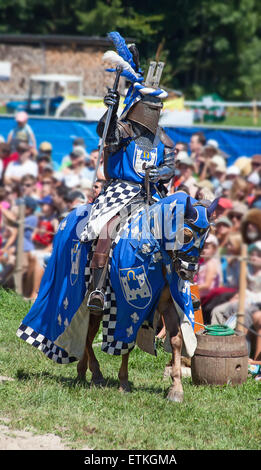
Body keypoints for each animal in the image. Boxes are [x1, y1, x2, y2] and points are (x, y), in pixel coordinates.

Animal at [15, 189, 215, 402]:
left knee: (87, 334)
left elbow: (176, 340)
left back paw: (82, 372)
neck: (153, 248)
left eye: (205, 238)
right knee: (88, 337)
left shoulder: (167, 304)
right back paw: (96, 374)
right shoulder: (126, 308)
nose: (188, 271)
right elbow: (126, 342)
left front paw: (176, 388)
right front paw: (124, 382)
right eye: (186, 234)